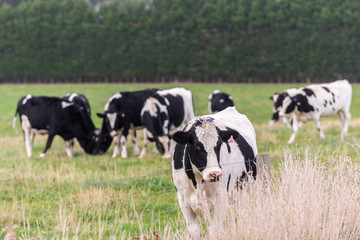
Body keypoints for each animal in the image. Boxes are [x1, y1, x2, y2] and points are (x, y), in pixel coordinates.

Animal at [171, 108, 256, 239]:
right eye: (197, 147)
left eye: (219, 145)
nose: (215, 174)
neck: (197, 182)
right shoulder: (183, 200)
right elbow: (194, 232)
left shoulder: (220, 199)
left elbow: (214, 231)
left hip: (244, 189)